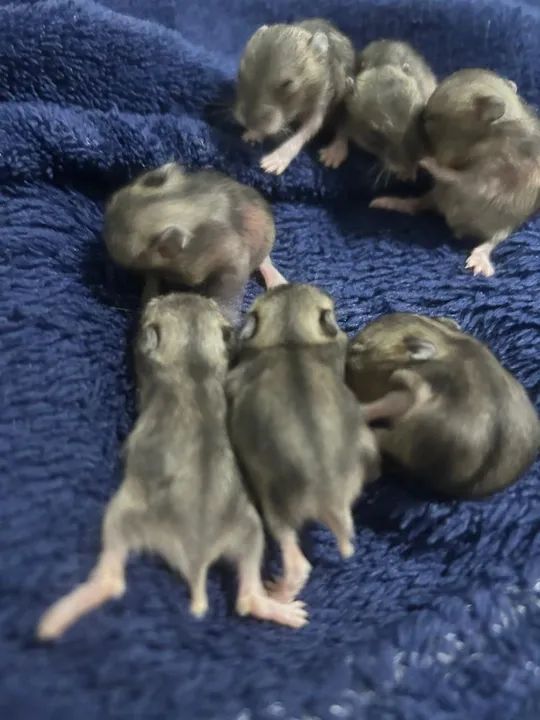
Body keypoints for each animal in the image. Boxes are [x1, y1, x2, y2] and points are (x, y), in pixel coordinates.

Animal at [37, 294, 307, 640]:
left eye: (156, 308)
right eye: (202, 303)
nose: (166, 294)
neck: (193, 363)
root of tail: (197, 558)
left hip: (127, 516)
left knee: (113, 576)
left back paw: (55, 619)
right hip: (247, 529)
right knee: (248, 593)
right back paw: (281, 608)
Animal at [227, 284, 380, 603]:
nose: (286, 284)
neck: (290, 338)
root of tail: (332, 500)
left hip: (279, 507)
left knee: (296, 560)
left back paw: (280, 592)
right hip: (365, 449)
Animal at [234, 19, 355, 175]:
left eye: (287, 83)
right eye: (240, 74)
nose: (249, 124)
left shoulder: (323, 97)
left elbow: (308, 129)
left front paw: (274, 160)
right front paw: (254, 134)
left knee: (344, 128)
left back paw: (334, 152)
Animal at [320, 40, 436, 178]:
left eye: (417, 118)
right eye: (376, 134)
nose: (409, 167)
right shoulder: (346, 111)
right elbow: (343, 129)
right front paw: (333, 153)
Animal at [370, 69, 540, 276]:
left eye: (430, 119)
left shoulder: (494, 175)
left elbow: (460, 178)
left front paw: (425, 161)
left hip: (503, 223)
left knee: (492, 239)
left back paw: (479, 260)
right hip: (438, 197)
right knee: (419, 203)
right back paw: (391, 202)